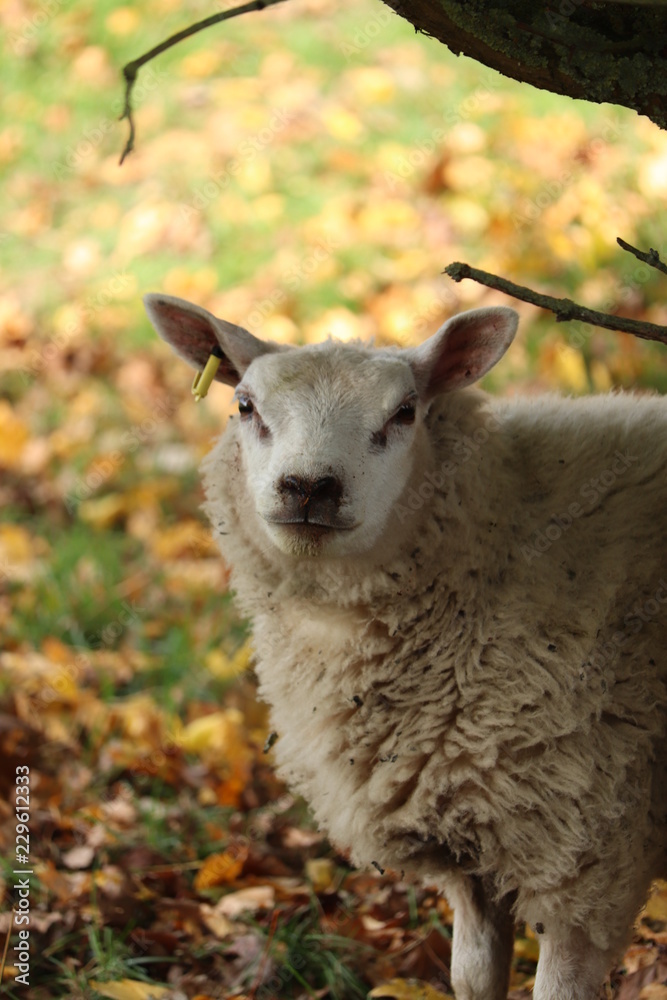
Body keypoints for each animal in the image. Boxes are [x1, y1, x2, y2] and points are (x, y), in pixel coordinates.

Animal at [144, 292, 667, 1000]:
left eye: (404, 413)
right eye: (245, 406)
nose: (309, 487)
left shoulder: (583, 854)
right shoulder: (469, 846)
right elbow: (471, 977)